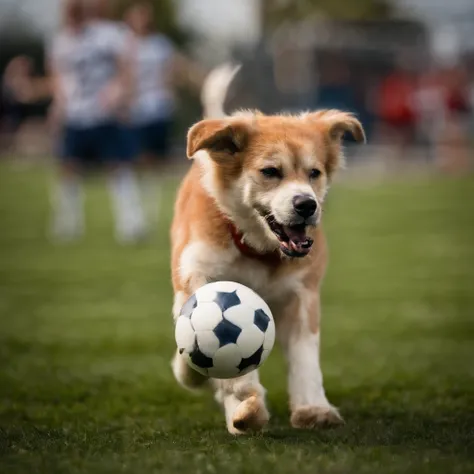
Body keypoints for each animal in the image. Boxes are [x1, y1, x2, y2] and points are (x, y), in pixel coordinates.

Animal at [171, 65, 366, 436]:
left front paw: (313, 408)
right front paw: (244, 401)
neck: (256, 248)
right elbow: (217, 355)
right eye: (270, 172)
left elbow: (305, 354)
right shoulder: (197, 274)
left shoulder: (303, 293)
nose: (307, 205)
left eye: (314, 173)